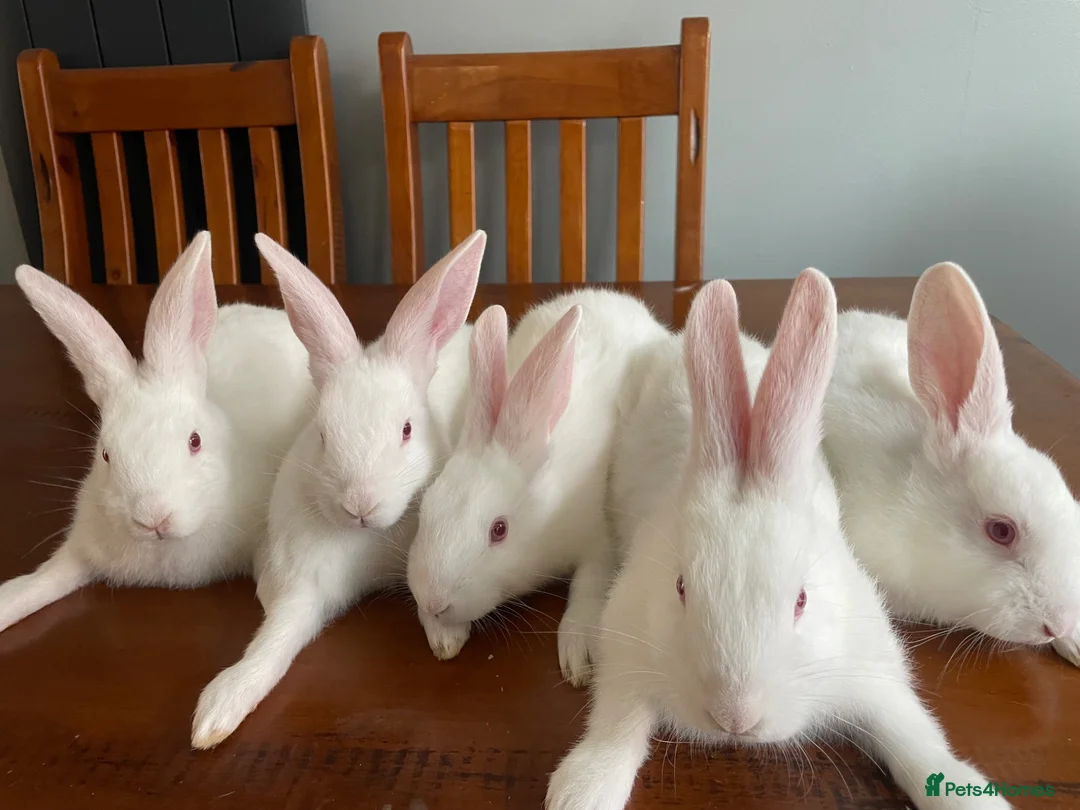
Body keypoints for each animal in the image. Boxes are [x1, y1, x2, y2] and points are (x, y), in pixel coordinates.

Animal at [190, 230, 486, 749]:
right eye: (324, 435)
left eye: (407, 429)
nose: (360, 505)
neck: (368, 542)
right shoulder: (301, 585)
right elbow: (273, 640)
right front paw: (217, 713)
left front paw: (447, 638)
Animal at [406, 289, 672, 686]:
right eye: (426, 511)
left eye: (499, 530)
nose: (433, 601)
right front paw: (444, 636)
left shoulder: (598, 538)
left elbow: (590, 583)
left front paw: (580, 653)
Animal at [546, 271, 1006, 810]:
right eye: (680, 588)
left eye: (802, 600)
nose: (734, 717)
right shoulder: (628, 646)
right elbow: (616, 726)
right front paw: (580, 791)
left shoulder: (870, 665)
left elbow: (912, 736)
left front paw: (969, 795)